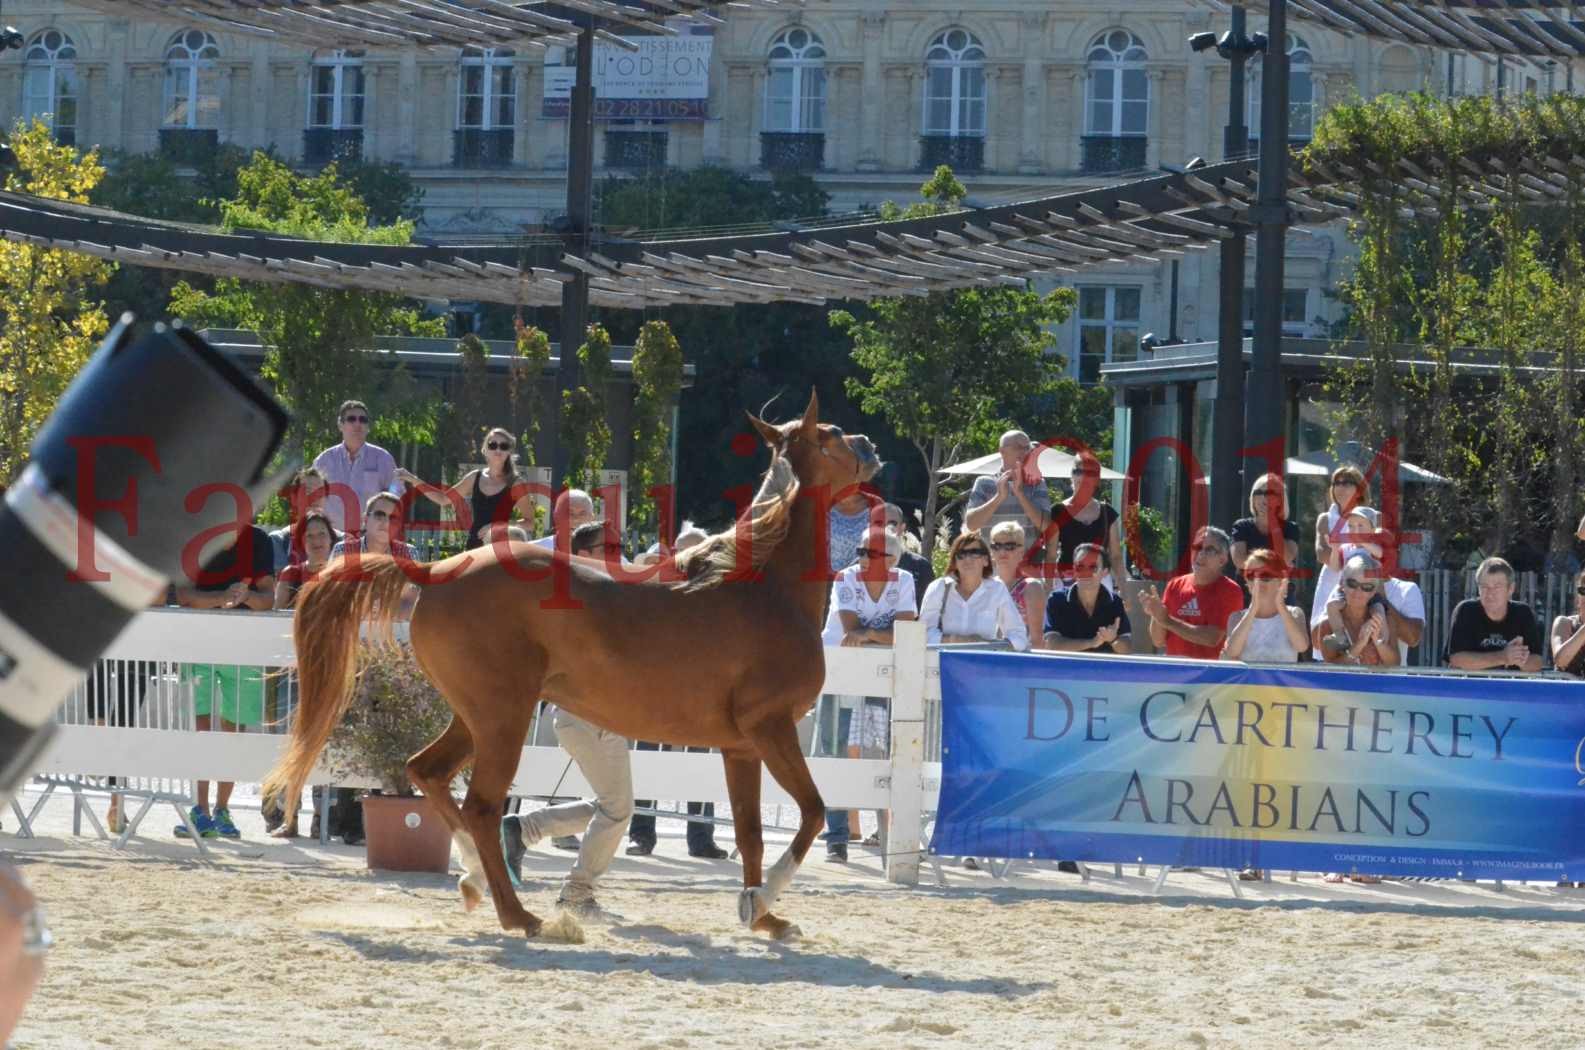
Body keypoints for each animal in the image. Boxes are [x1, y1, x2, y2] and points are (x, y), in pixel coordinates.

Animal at [263, 393, 881, 938]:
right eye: (831, 434)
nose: (871, 446)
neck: (763, 588)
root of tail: (434, 573)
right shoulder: (771, 728)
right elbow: (813, 812)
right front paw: (767, 897)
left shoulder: (740, 747)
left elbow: (752, 833)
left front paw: (763, 914)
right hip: (504, 720)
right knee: (483, 805)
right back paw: (521, 916)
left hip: (475, 717)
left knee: (427, 772)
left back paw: (474, 881)